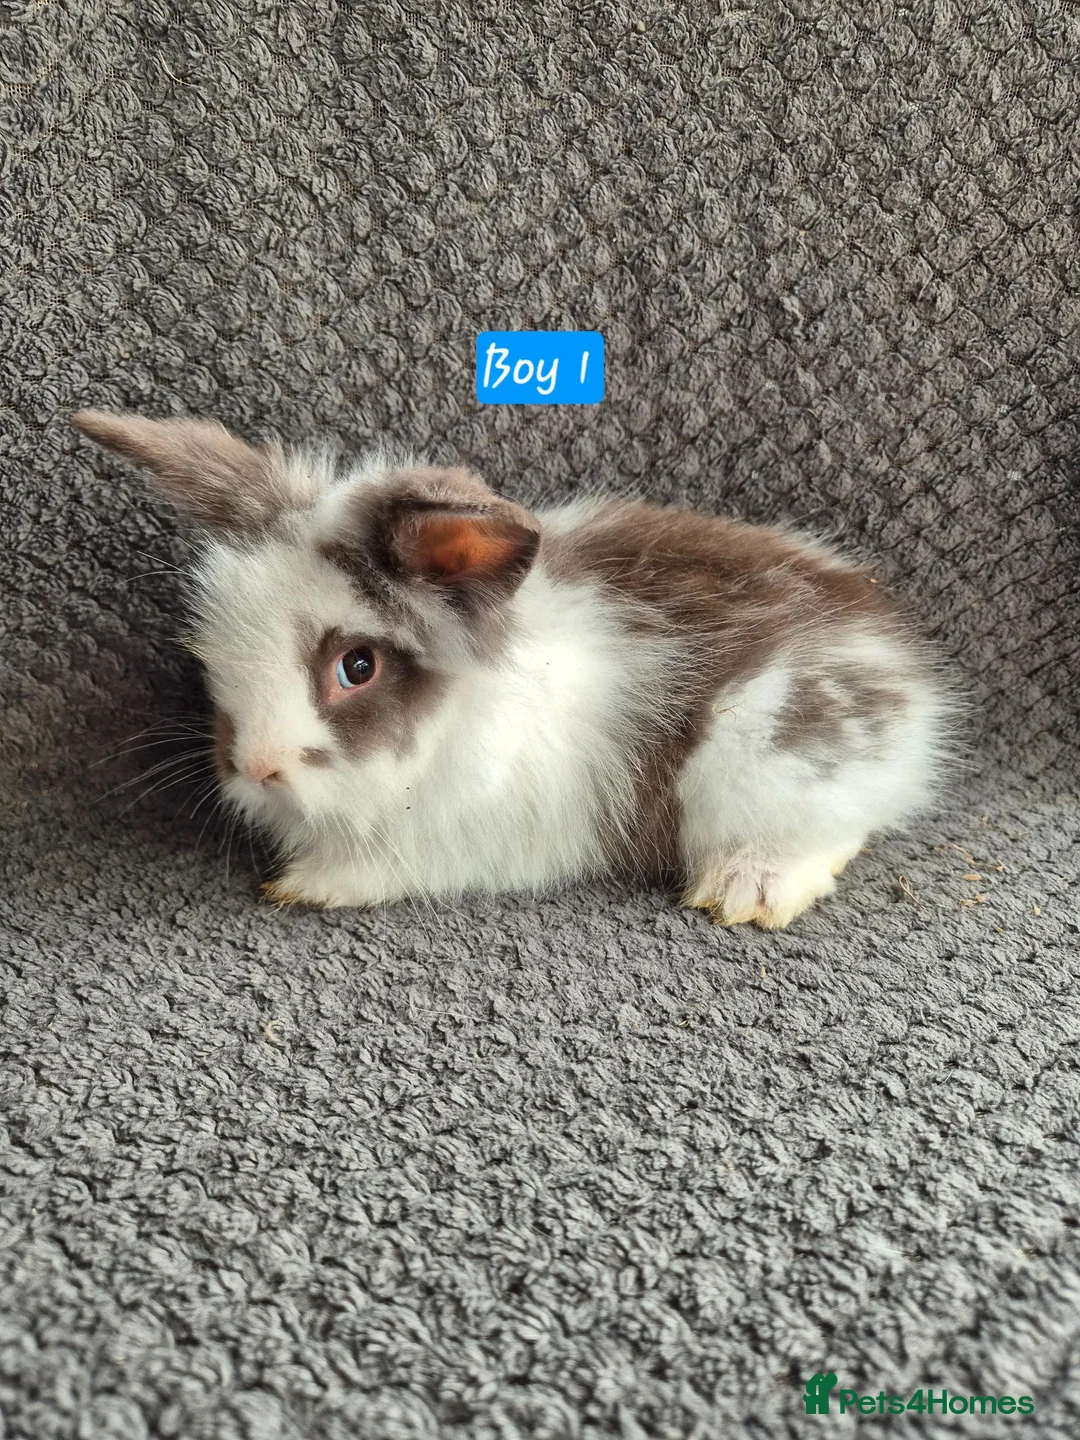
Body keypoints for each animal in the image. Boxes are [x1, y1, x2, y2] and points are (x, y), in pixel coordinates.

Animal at [73, 408, 953, 928]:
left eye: (356, 666)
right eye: (217, 653)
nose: (254, 768)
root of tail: (910, 682)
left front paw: (310, 882)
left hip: (767, 751)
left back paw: (747, 892)